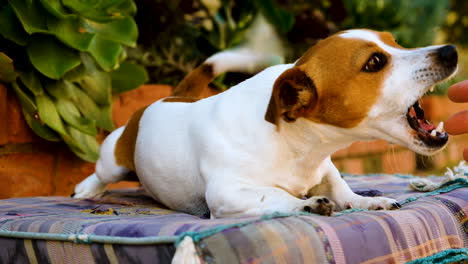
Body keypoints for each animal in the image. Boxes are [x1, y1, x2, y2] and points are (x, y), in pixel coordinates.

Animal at [73, 29, 458, 219]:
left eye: (396, 42)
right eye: (375, 62)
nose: (451, 51)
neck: (294, 144)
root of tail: (173, 97)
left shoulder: (326, 169)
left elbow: (343, 191)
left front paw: (366, 201)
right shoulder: (227, 193)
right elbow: (275, 195)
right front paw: (305, 204)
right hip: (114, 158)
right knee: (101, 172)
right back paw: (86, 190)